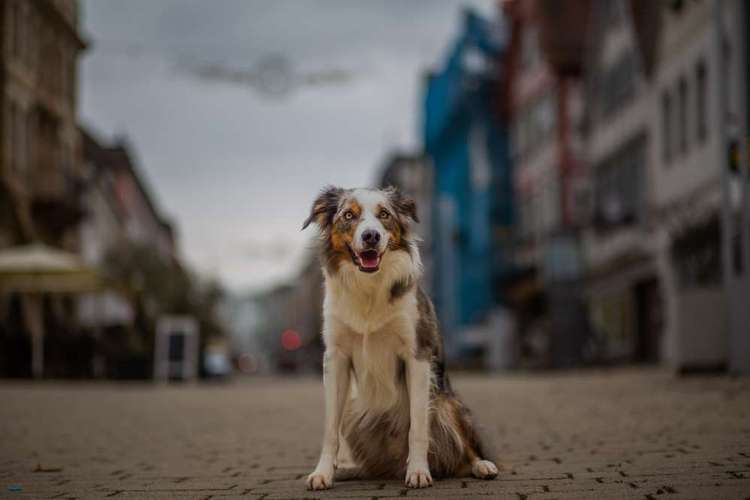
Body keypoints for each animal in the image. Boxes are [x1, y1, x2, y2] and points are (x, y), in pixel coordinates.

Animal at [300, 187, 500, 488]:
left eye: (384, 214)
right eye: (348, 215)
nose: (371, 236)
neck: (368, 287)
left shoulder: (417, 354)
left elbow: (417, 426)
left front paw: (418, 471)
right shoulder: (336, 358)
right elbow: (330, 429)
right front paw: (323, 473)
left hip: (445, 401)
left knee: (464, 450)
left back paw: (481, 465)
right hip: (354, 410)